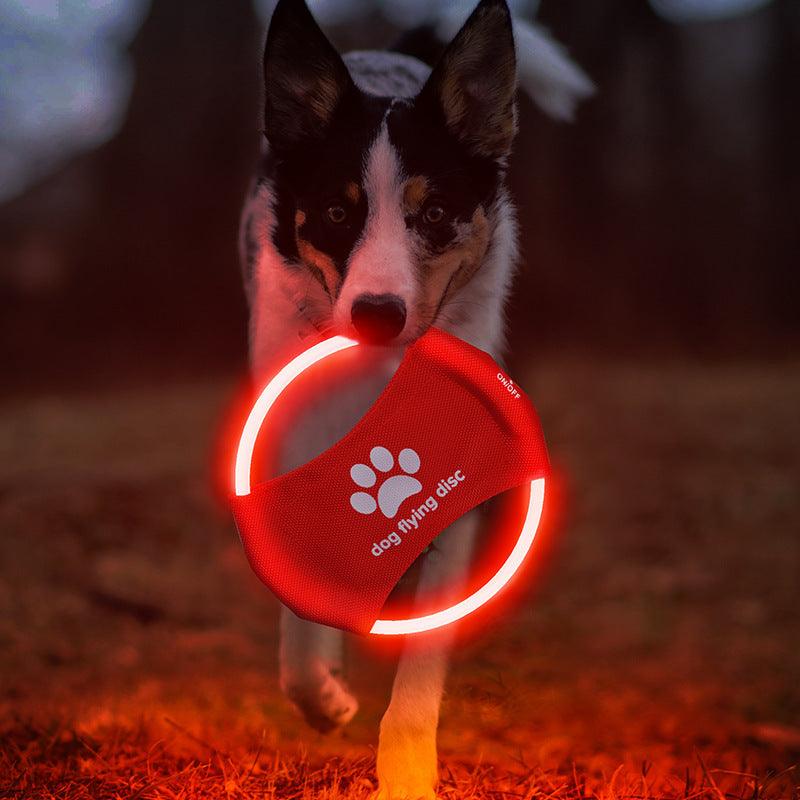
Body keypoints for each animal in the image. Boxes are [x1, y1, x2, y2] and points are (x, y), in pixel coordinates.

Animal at [236, 3, 588, 796]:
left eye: (434, 216)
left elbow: (423, 661)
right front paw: (324, 694)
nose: (376, 313)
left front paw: (405, 768)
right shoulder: (288, 444)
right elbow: (299, 617)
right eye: (337, 214)